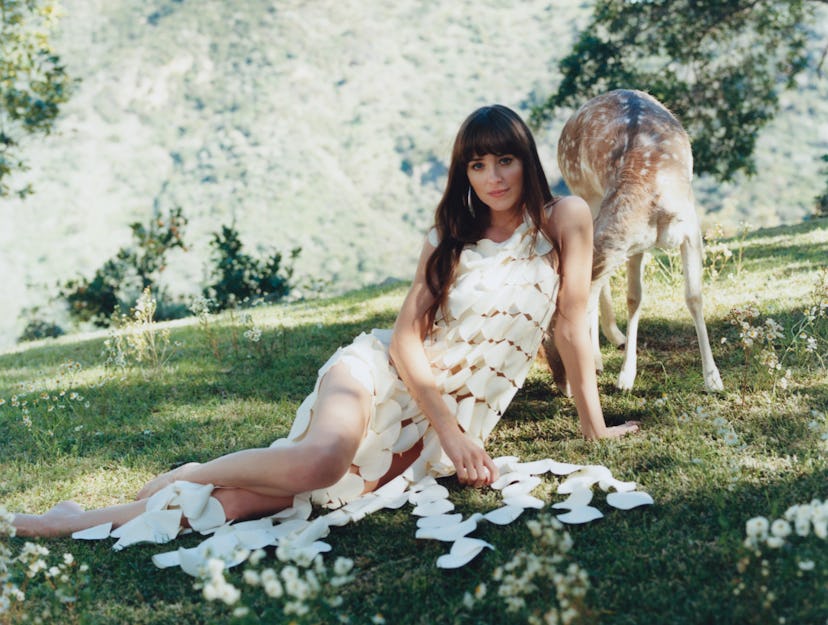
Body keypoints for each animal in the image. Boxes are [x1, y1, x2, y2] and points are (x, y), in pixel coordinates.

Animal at [540, 89, 720, 390]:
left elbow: (693, 296)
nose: (564, 386)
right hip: (584, 193)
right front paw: (626, 376)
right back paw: (601, 356)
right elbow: (634, 298)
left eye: (548, 335)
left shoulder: (690, 231)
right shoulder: (634, 244)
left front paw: (713, 378)